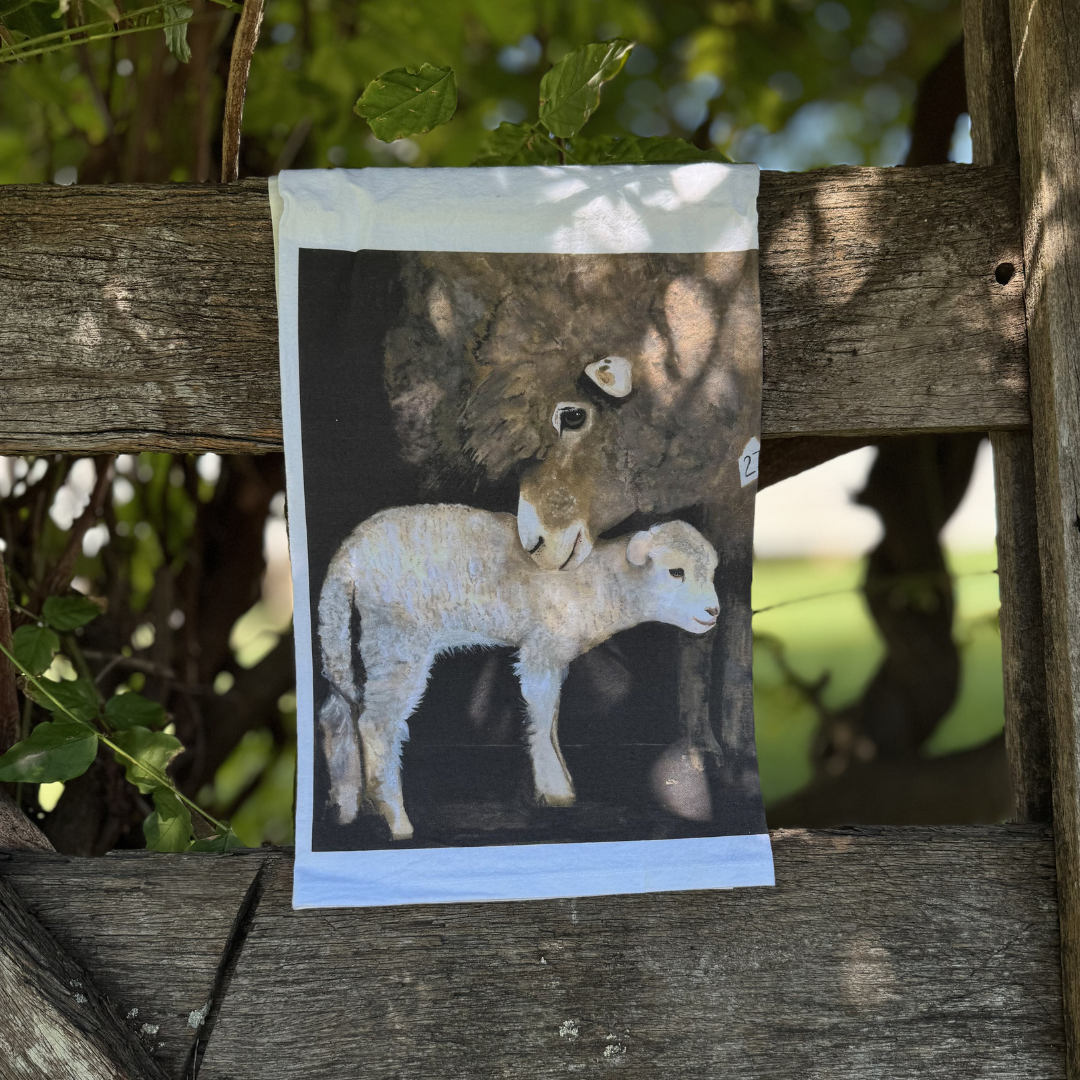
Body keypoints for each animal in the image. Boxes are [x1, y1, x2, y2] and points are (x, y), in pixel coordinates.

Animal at [317, 504, 720, 841]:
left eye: (713, 571)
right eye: (676, 571)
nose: (713, 611)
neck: (597, 582)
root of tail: (347, 554)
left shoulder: (555, 654)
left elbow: (552, 716)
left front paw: (561, 784)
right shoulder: (542, 647)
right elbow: (541, 717)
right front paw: (555, 790)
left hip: (355, 637)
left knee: (337, 713)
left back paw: (348, 807)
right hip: (398, 638)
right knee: (376, 723)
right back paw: (396, 820)